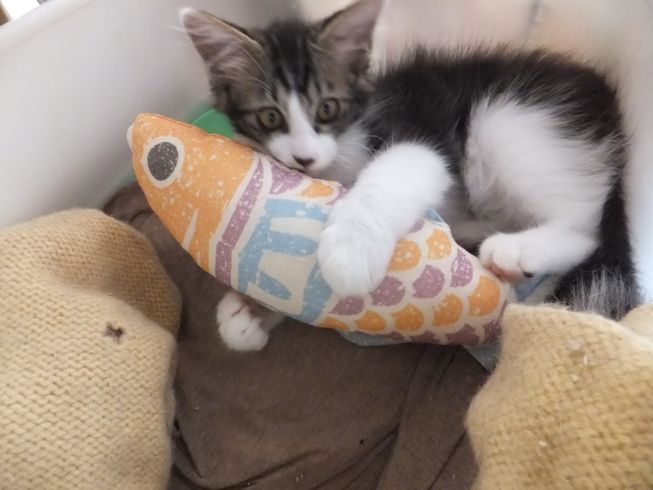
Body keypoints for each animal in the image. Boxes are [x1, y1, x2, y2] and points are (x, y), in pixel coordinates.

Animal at [181, 0, 639, 351]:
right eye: (270, 117)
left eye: (326, 108)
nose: (304, 159)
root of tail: (605, 105)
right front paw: (250, 311)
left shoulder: (419, 137)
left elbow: (387, 179)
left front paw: (349, 252)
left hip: (511, 118)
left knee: (585, 227)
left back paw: (516, 251)